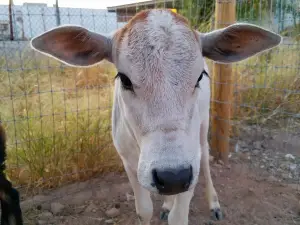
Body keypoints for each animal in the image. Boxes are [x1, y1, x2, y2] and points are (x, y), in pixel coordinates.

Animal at [29, 8, 282, 225]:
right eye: (124, 79)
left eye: (200, 76)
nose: (172, 176)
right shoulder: (129, 162)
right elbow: (144, 210)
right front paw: (163, 206)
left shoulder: (190, 163)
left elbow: (179, 216)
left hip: (203, 129)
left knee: (206, 160)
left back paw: (213, 203)